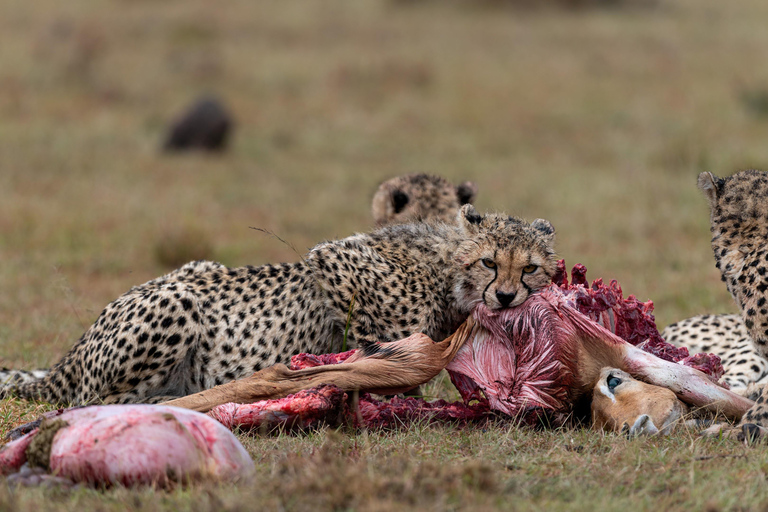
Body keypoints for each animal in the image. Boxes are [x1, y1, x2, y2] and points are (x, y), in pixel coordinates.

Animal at [0, 206, 552, 406]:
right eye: (488, 262)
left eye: (530, 269)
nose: (506, 296)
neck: (445, 267)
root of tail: (72, 355)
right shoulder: (335, 260)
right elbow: (384, 342)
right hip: (177, 302)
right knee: (87, 403)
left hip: (195, 268)